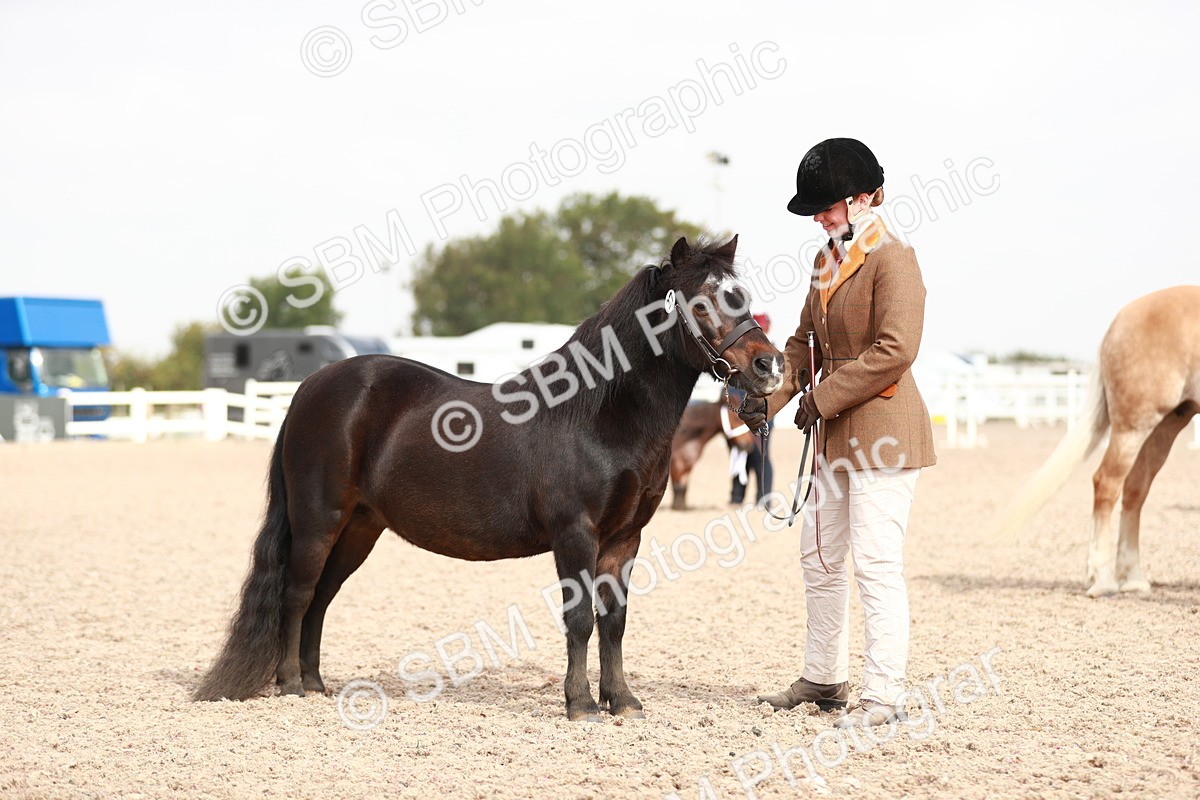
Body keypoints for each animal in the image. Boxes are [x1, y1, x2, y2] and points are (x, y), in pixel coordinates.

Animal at [193, 235, 784, 720]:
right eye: (702, 301)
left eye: (742, 295)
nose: (769, 366)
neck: (598, 414)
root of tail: (310, 388)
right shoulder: (575, 534)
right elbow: (579, 618)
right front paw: (581, 705)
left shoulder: (625, 537)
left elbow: (614, 619)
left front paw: (623, 701)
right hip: (320, 519)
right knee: (297, 592)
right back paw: (291, 684)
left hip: (359, 528)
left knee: (321, 597)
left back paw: (316, 684)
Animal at [995, 285, 1200, 596]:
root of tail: (1120, 320)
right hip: (1134, 426)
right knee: (1107, 484)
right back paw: (1103, 579)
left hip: (1166, 425)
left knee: (1134, 491)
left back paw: (1132, 578)